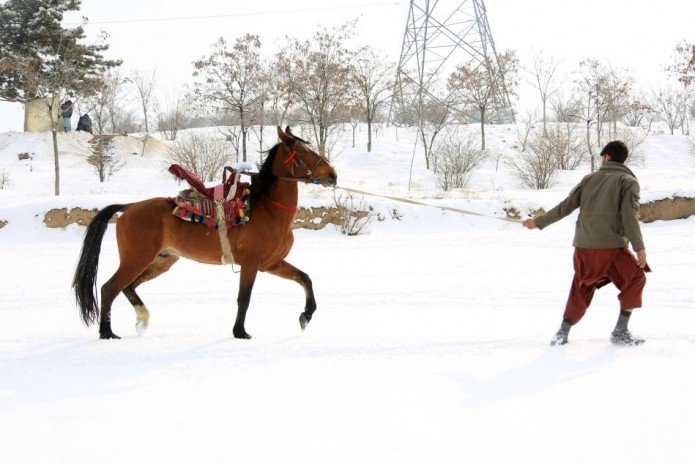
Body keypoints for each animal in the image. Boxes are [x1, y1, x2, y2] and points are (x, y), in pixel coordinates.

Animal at [72, 127, 338, 340]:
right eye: (303, 152)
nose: (332, 175)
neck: (268, 209)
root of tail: (129, 207)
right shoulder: (251, 264)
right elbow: (244, 298)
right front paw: (240, 332)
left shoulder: (272, 264)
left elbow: (305, 278)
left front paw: (306, 316)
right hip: (136, 260)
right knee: (109, 288)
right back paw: (107, 333)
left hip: (161, 261)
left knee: (127, 288)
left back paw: (141, 319)